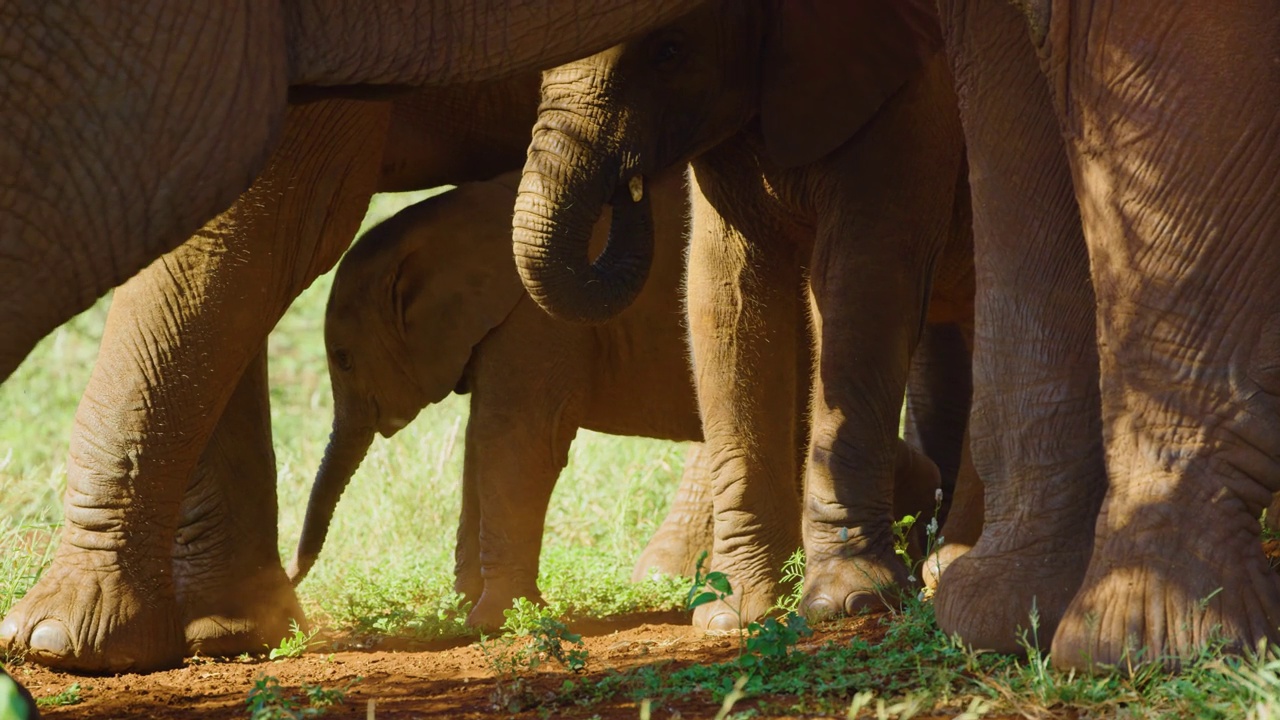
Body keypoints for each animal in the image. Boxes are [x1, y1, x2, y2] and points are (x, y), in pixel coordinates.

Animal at [288, 169, 711, 627]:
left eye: (344, 359)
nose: (291, 579)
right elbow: (478, 442)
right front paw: (461, 611)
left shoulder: (539, 316)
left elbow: (515, 439)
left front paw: (497, 620)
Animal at [506, 0, 967, 625]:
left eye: (668, 50)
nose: (630, 182)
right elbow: (724, 295)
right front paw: (733, 614)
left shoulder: (912, 100)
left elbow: (863, 282)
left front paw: (848, 603)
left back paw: (952, 567)